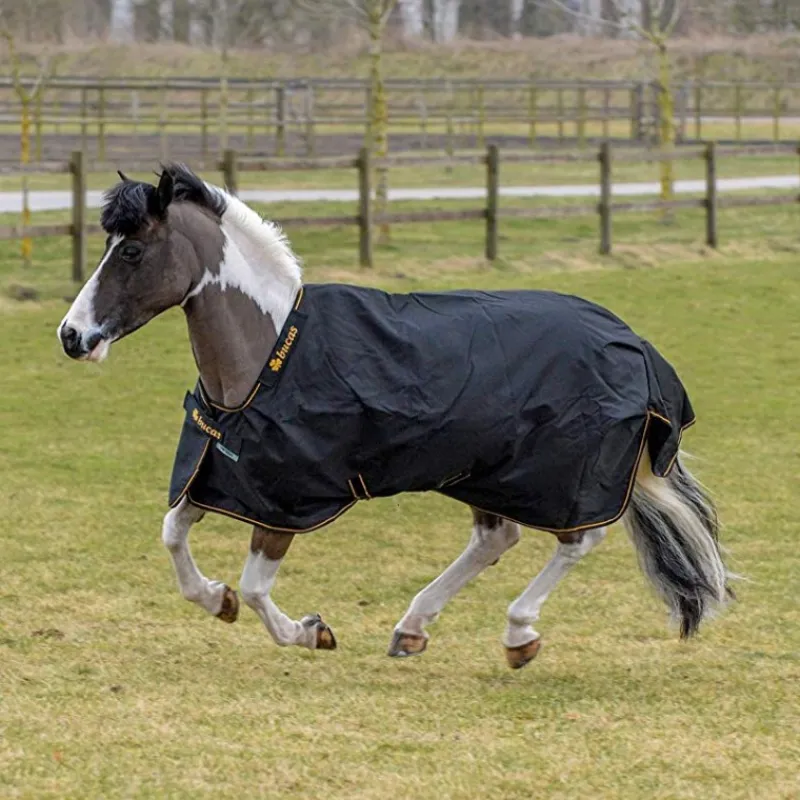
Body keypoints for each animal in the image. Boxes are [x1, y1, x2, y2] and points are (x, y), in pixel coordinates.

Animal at [57, 164, 733, 669]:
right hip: (486, 472)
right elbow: (173, 535)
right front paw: (214, 599)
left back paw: (518, 634)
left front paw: (311, 631)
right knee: (496, 539)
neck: (269, 354)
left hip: (558, 477)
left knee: (577, 539)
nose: (71, 336)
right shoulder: (221, 476)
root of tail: (635, 344)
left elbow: (254, 587)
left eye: (132, 250)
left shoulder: (286, 500)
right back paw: (412, 629)